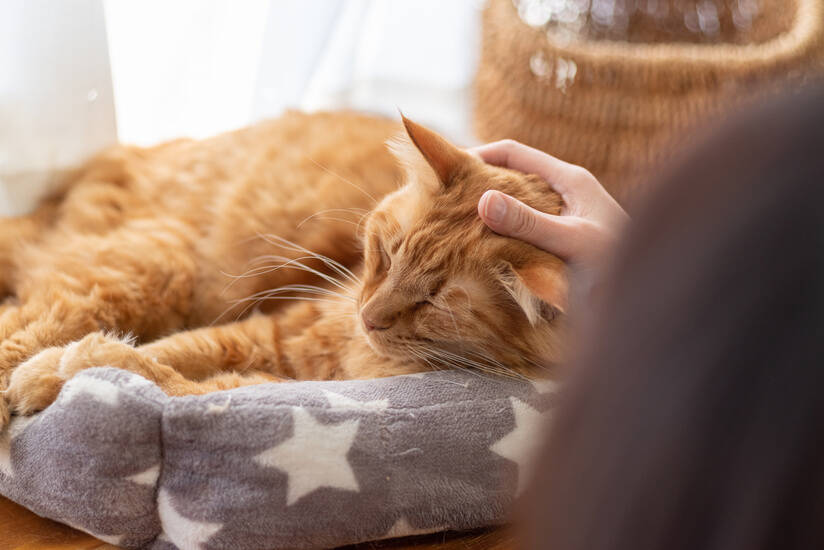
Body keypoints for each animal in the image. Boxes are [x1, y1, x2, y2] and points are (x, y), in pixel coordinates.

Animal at [0, 110, 568, 430]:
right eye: (385, 255)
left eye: (433, 300)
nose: (369, 317)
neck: (358, 356)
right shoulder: (275, 331)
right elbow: (175, 350)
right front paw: (49, 371)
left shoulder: (267, 375)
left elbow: (164, 376)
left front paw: (80, 365)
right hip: (155, 267)